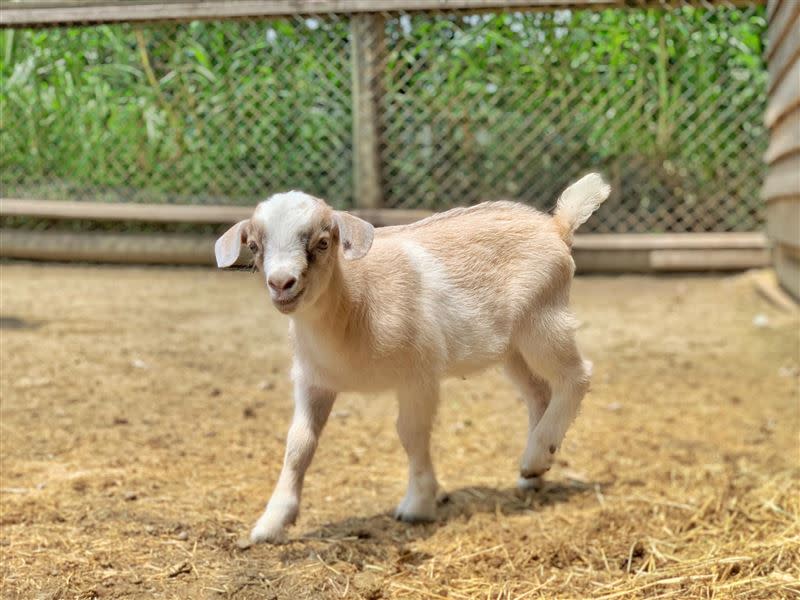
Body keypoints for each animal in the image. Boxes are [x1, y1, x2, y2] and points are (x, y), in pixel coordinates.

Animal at [216, 172, 608, 544]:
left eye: (323, 242)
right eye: (255, 245)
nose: (282, 283)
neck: (355, 305)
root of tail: (556, 226)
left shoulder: (418, 376)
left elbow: (411, 434)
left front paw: (417, 505)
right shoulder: (314, 381)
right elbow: (299, 444)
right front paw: (271, 524)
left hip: (543, 322)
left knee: (577, 376)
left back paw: (538, 453)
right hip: (513, 348)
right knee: (539, 393)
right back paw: (533, 471)